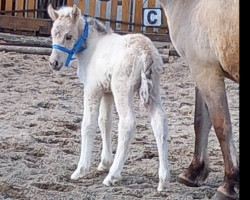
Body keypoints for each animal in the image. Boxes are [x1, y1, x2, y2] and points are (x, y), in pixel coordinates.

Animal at [47, 3, 170, 191]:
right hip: (153, 91)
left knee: (127, 124)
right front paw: (104, 163)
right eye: (53, 33)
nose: (54, 63)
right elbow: (105, 122)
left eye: (68, 36)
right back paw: (163, 179)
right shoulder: (107, 92)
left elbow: (88, 124)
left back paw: (113, 175)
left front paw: (81, 169)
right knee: (160, 123)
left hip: (123, 90)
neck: (92, 46)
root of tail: (145, 52)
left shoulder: (92, 89)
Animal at [159, 0, 239, 199]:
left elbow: (221, 126)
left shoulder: (206, 71)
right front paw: (194, 172)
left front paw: (229, 185)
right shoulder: (199, 70)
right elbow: (201, 121)